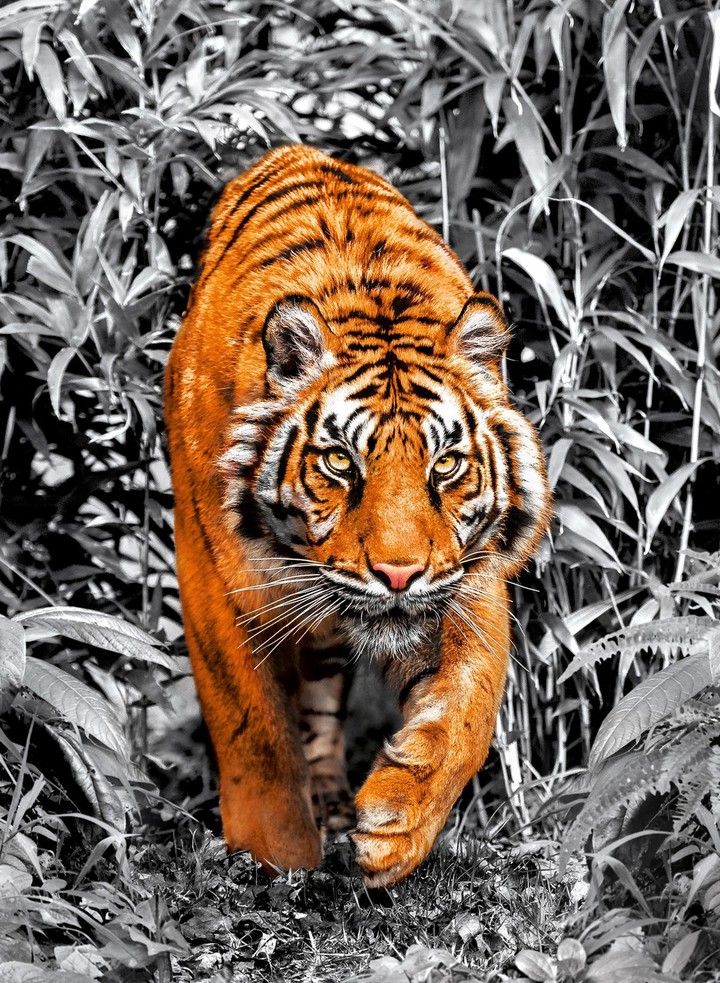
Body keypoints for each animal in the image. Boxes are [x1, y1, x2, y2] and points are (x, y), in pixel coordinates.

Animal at [164, 143, 552, 888]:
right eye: (341, 462)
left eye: (446, 466)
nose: (398, 575)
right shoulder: (213, 577)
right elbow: (252, 726)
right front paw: (278, 855)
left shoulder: (469, 579)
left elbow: (470, 708)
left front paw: (396, 824)